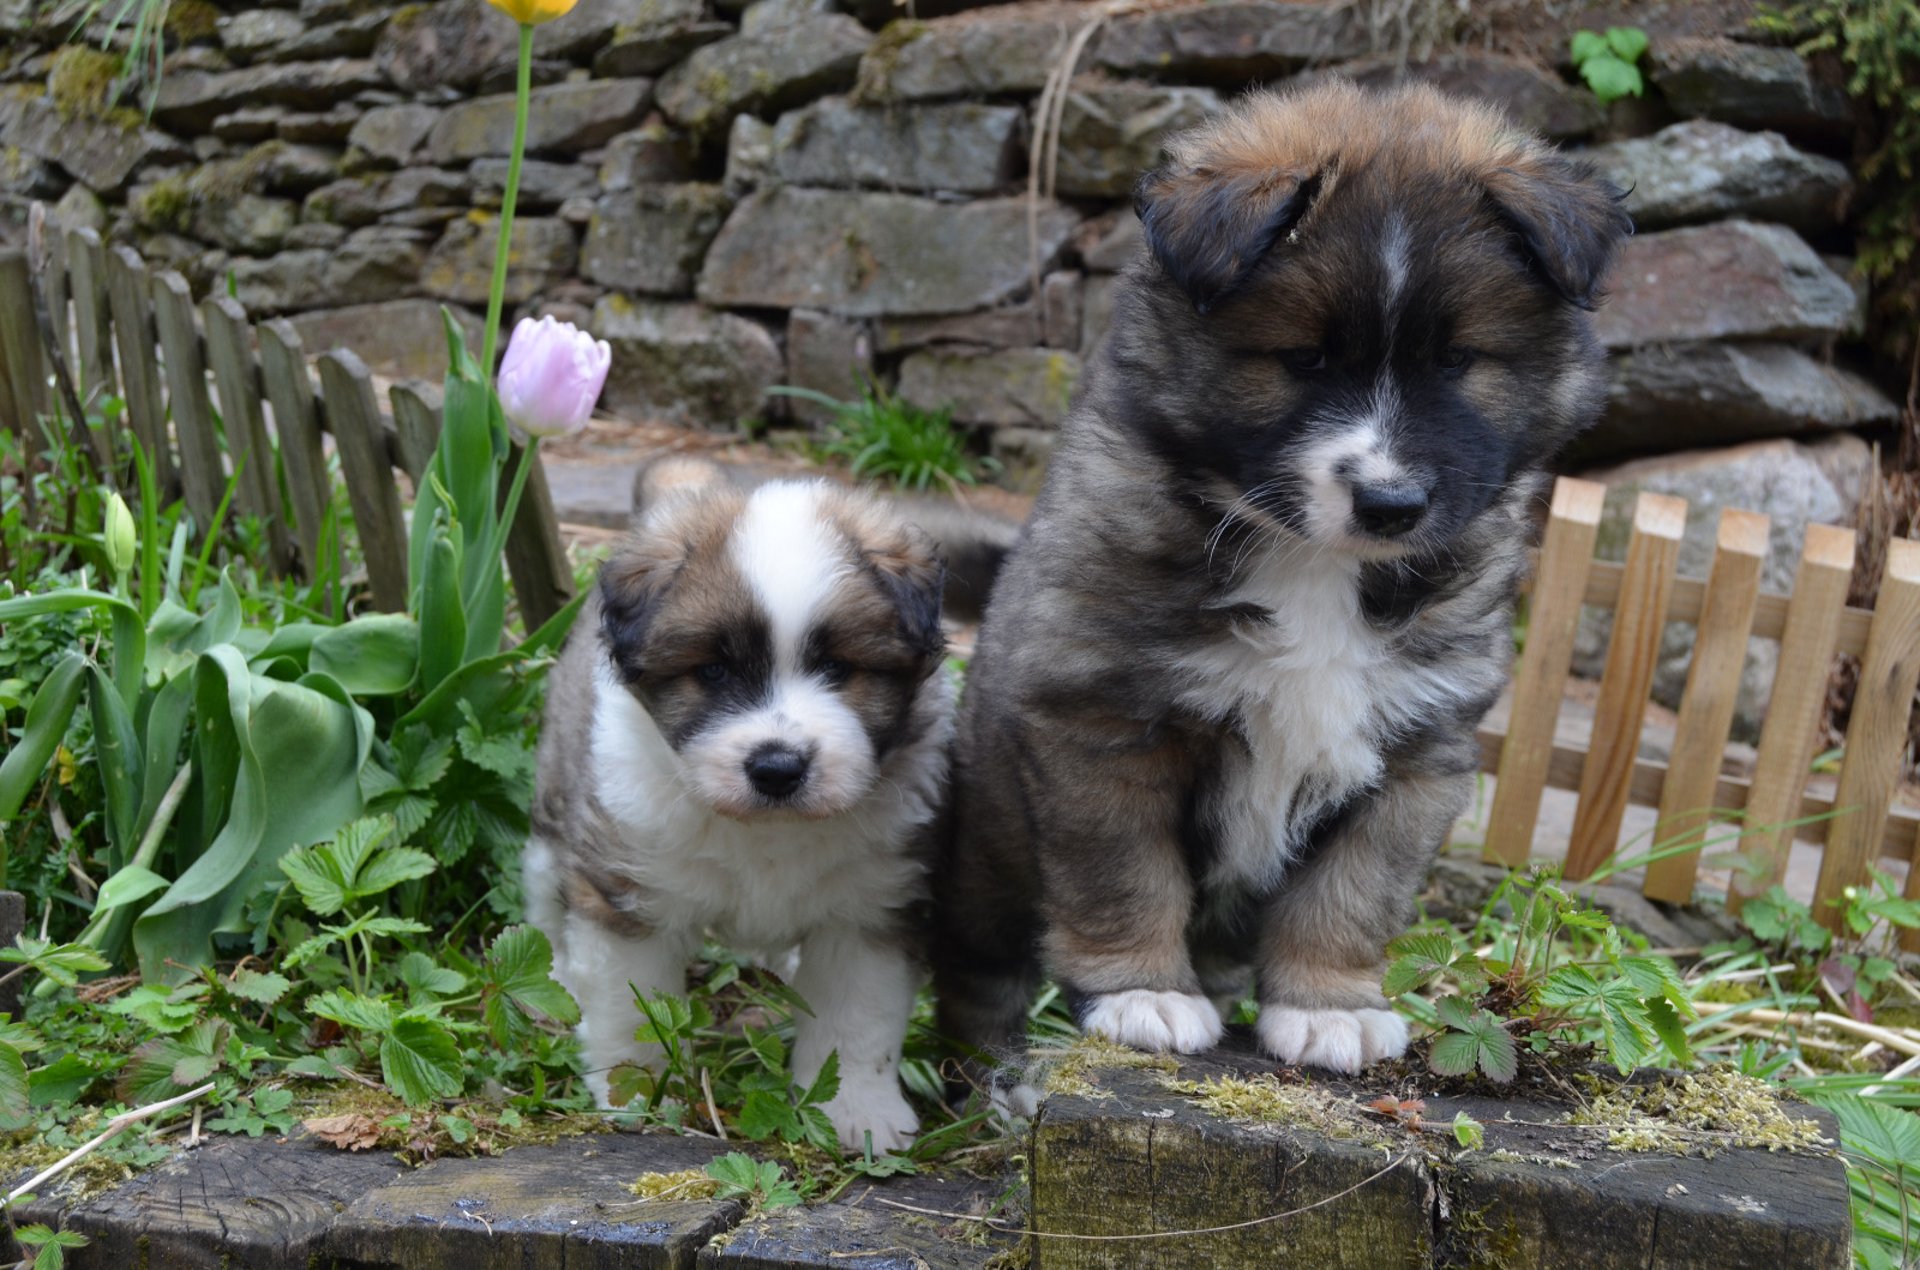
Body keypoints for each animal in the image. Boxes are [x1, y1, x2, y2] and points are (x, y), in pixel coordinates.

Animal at [526, 455, 952, 1152]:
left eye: (838, 668)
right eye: (714, 671)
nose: (777, 768)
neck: (765, 830)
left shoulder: (873, 908)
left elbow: (857, 1022)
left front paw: (858, 1112)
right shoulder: (629, 889)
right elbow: (630, 1007)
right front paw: (636, 1093)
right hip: (558, 812)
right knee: (543, 897)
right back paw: (553, 976)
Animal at [936, 81, 1628, 1068]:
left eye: (1458, 359)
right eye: (1304, 358)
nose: (1390, 503)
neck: (1314, 566)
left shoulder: (1416, 753)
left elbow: (1353, 892)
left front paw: (1329, 1005)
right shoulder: (1099, 724)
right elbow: (1123, 872)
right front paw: (1144, 991)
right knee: (981, 980)